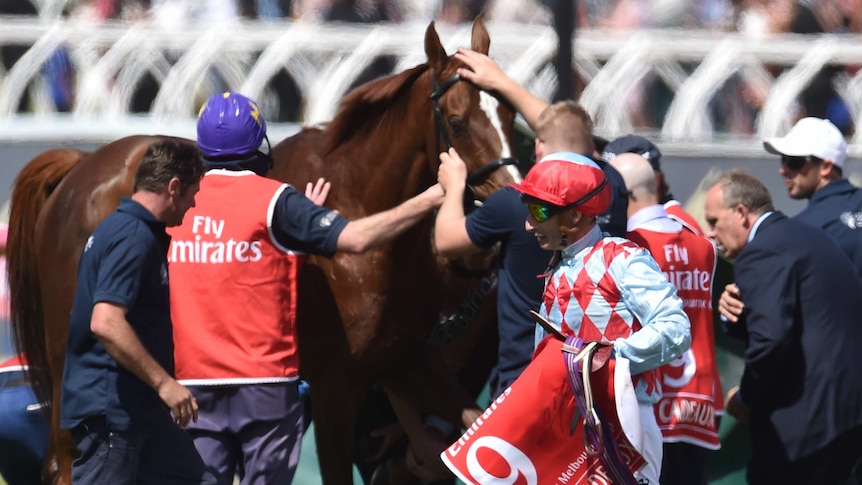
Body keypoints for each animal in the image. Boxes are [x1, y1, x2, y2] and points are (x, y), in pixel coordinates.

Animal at [6, 18, 516, 484]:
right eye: (457, 122)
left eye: (511, 114)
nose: (513, 196)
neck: (359, 203)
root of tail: (80, 166)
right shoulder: (335, 387)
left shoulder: (405, 359)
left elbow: (475, 423)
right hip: (69, 358)